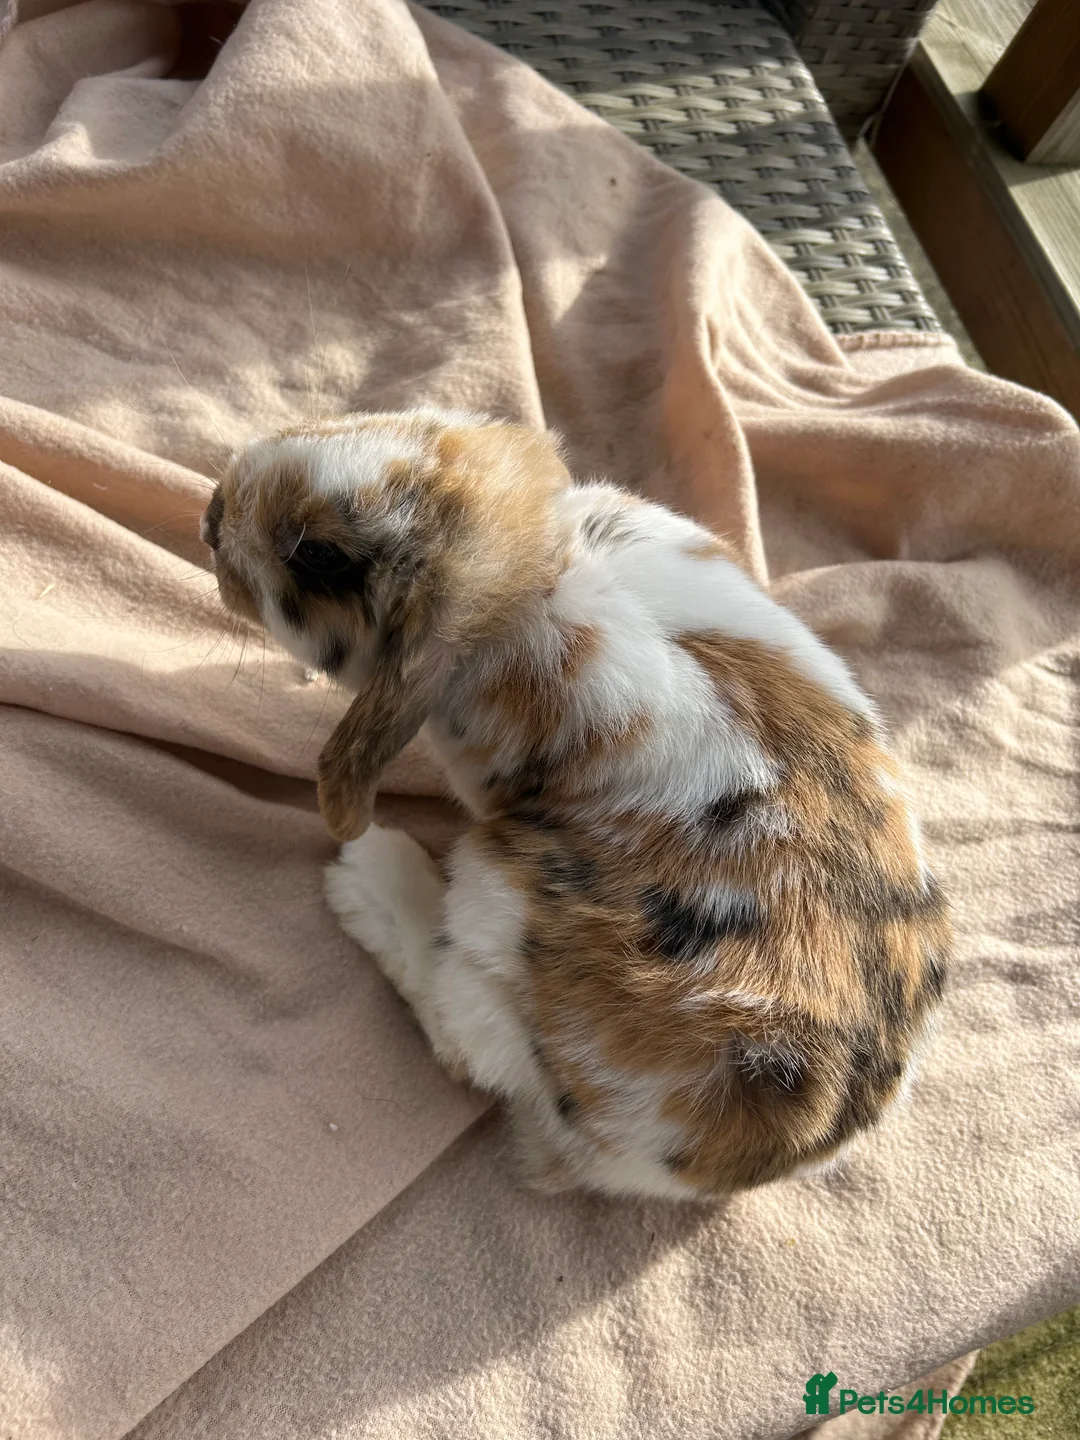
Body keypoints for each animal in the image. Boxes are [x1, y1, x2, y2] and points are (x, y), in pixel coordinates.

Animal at [201, 408, 951, 1200]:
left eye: (320, 557)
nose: (212, 515)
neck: (540, 572)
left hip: (497, 894)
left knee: (457, 1028)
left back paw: (371, 876)